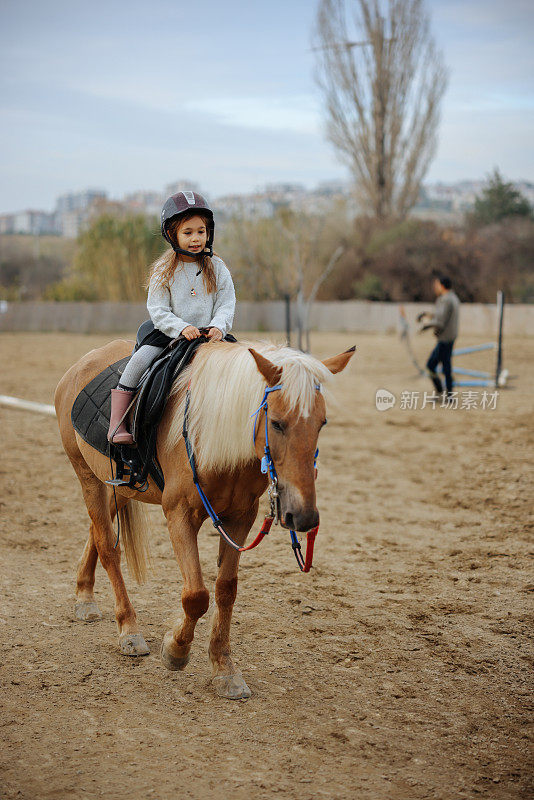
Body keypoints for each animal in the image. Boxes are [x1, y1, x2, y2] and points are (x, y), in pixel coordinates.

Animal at [55, 340, 356, 696]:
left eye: (322, 423)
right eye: (277, 423)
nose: (304, 516)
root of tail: (80, 365)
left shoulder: (241, 518)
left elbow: (226, 590)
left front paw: (224, 669)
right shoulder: (179, 514)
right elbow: (196, 595)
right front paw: (175, 651)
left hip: (120, 487)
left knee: (95, 532)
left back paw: (84, 597)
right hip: (87, 475)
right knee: (107, 546)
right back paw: (128, 629)